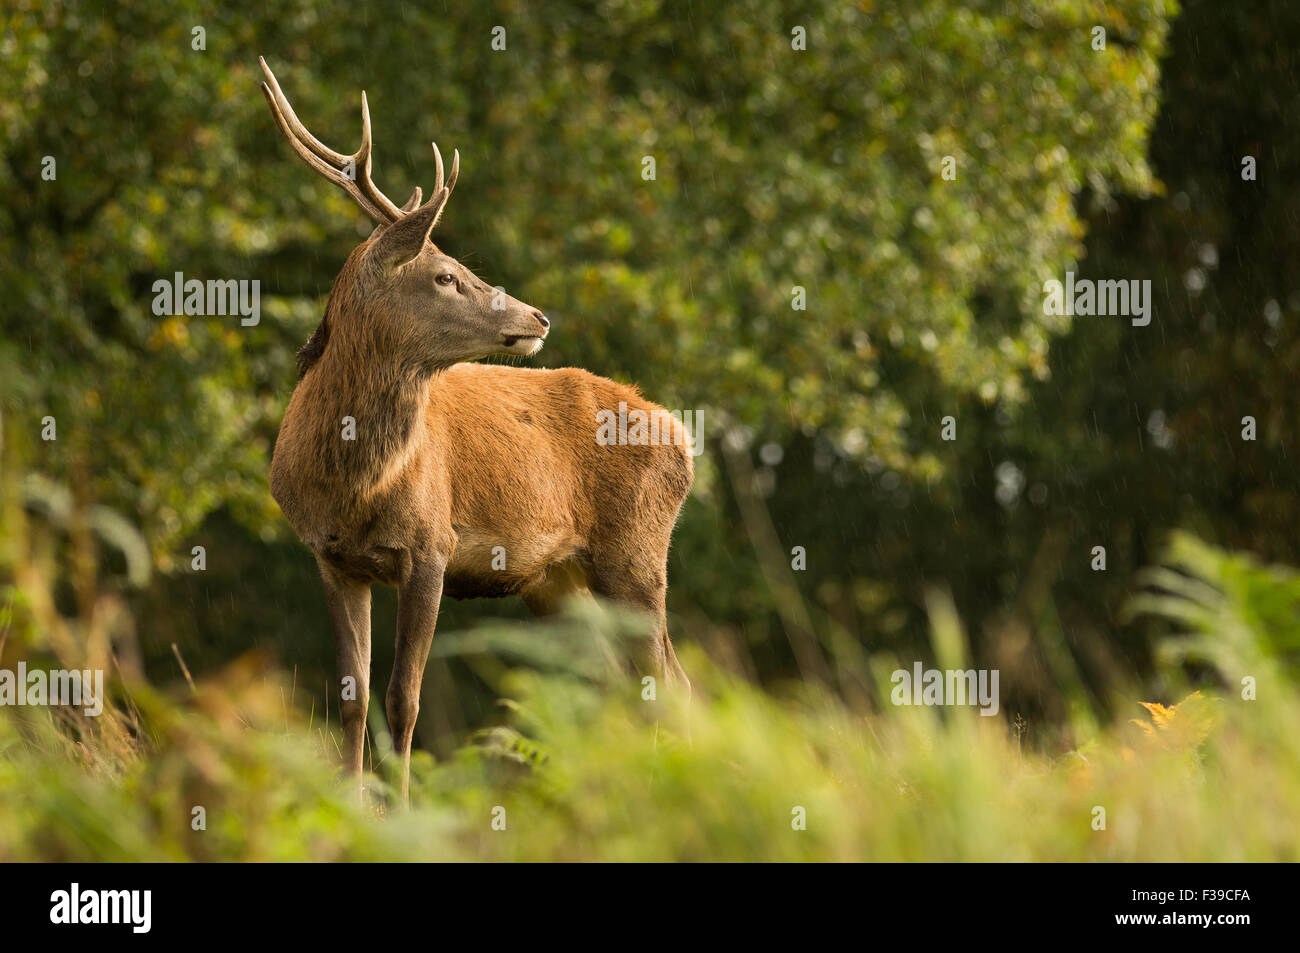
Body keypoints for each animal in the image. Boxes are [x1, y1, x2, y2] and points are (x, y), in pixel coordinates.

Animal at [258, 59, 693, 802]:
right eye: (444, 275)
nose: (538, 316)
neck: (355, 485)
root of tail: (684, 438)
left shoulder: (431, 544)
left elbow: (404, 697)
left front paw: (400, 806)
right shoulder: (330, 556)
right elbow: (351, 697)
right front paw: (347, 803)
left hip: (637, 552)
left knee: (668, 680)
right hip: (558, 581)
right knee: (622, 683)